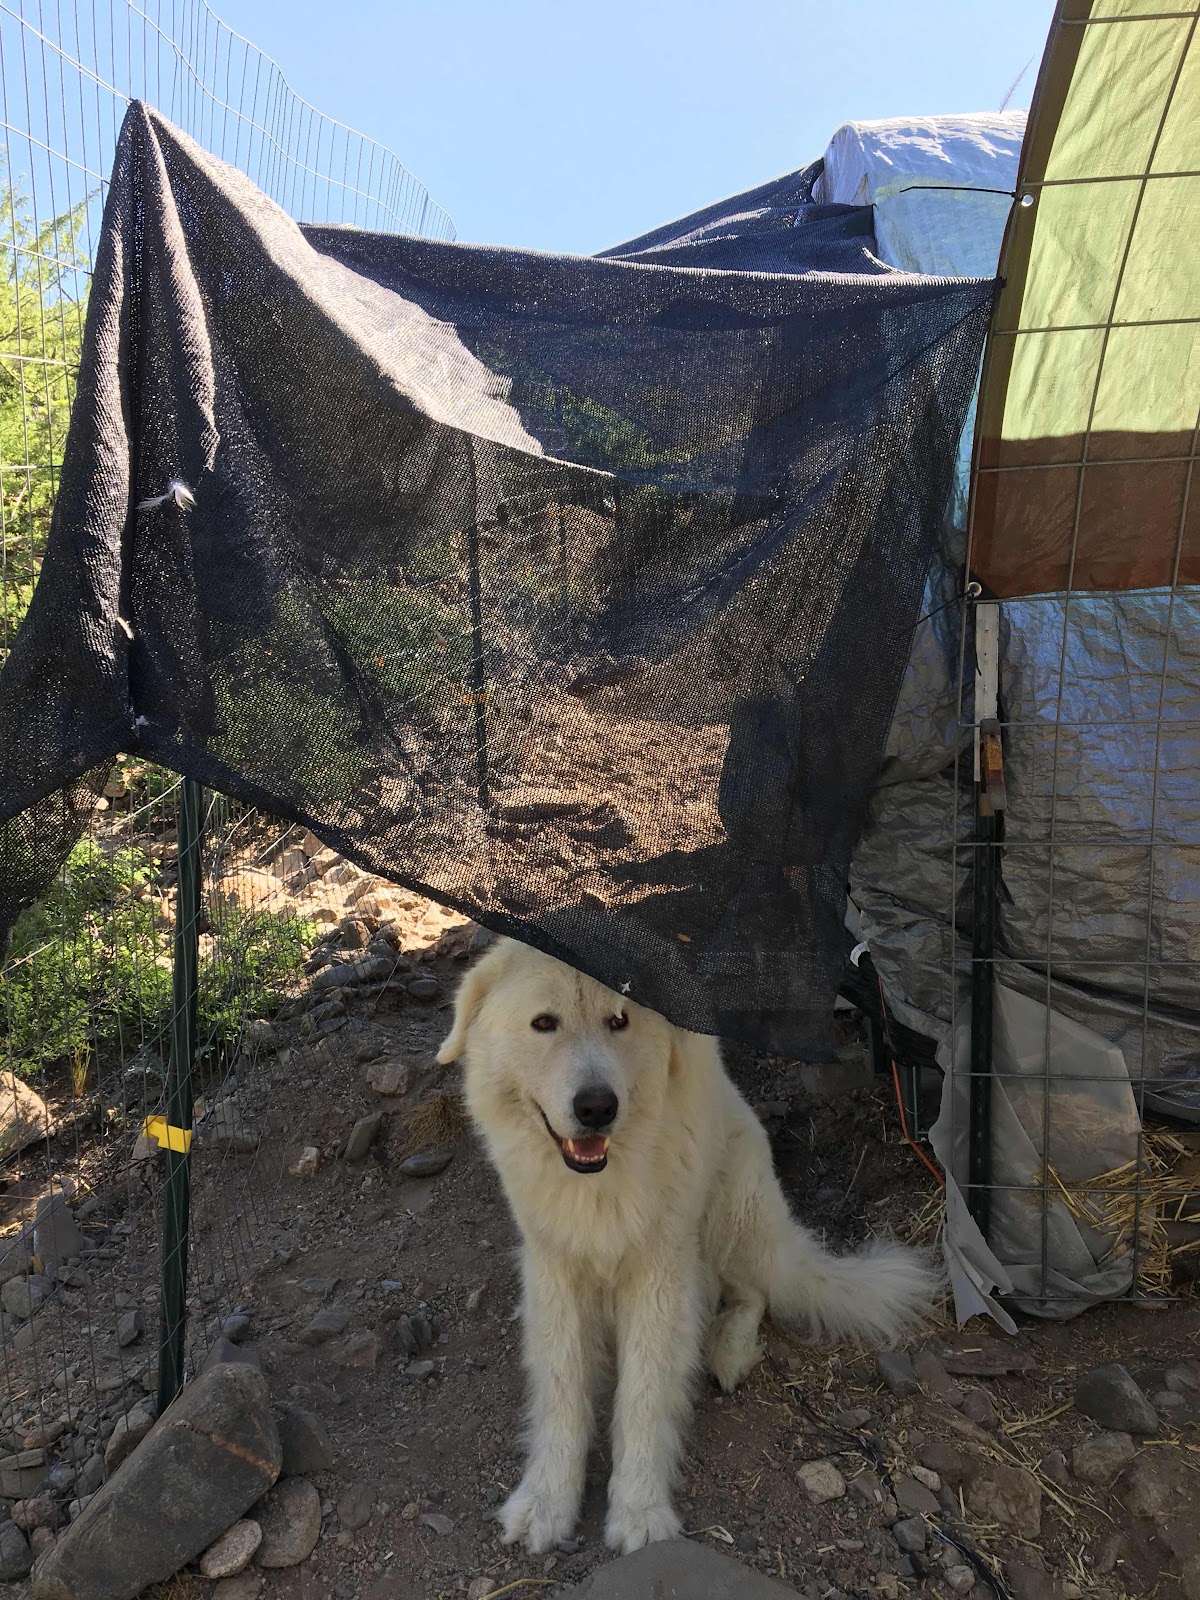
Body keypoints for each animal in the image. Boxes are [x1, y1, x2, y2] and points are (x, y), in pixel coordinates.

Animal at [437, 937, 939, 1555]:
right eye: (544, 1024)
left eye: (619, 1021)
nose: (597, 1107)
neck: (600, 1181)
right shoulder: (555, 1268)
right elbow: (561, 1390)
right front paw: (546, 1504)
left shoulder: (661, 1271)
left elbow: (645, 1394)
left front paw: (640, 1513)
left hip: (732, 1207)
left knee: (750, 1293)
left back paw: (725, 1349)